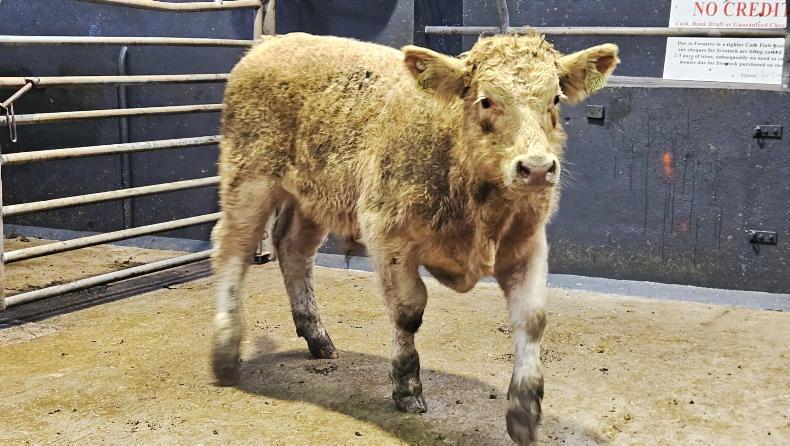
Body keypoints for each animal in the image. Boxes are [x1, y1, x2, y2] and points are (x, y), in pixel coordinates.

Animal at [210, 31, 619, 445]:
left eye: (555, 99)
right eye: (486, 99)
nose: (536, 168)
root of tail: (273, 41)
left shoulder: (528, 242)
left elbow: (532, 318)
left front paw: (524, 408)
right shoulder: (386, 232)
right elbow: (407, 312)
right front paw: (407, 387)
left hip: (312, 196)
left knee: (293, 249)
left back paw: (317, 336)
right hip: (248, 179)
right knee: (232, 248)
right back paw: (226, 350)